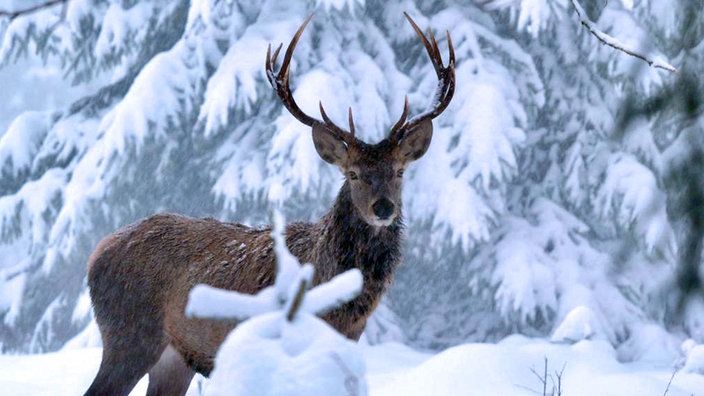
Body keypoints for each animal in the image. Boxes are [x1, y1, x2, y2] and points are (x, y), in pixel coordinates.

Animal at [84, 12, 456, 396]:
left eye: (399, 171)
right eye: (353, 174)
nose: (383, 208)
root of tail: (98, 252)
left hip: (174, 358)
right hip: (130, 334)